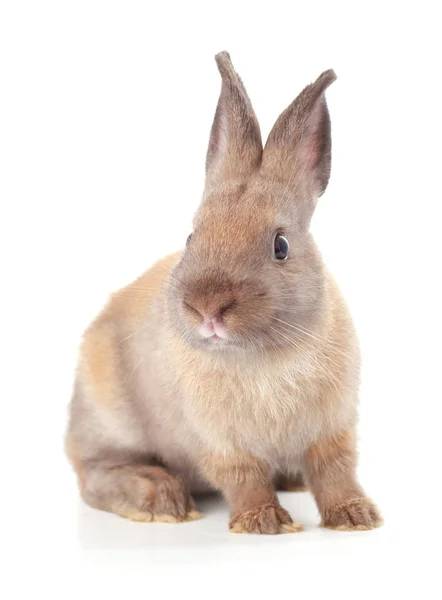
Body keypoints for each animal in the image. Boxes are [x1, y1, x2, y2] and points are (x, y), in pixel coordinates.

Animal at [66, 50, 384, 528]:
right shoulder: (218, 442)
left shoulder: (332, 430)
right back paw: (158, 499)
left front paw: (355, 516)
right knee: (94, 471)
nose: (207, 308)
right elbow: (244, 476)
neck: (262, 356)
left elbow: (335, 472)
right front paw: (265, 522)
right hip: (108, 413)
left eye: (281, 246)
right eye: (192, 237)